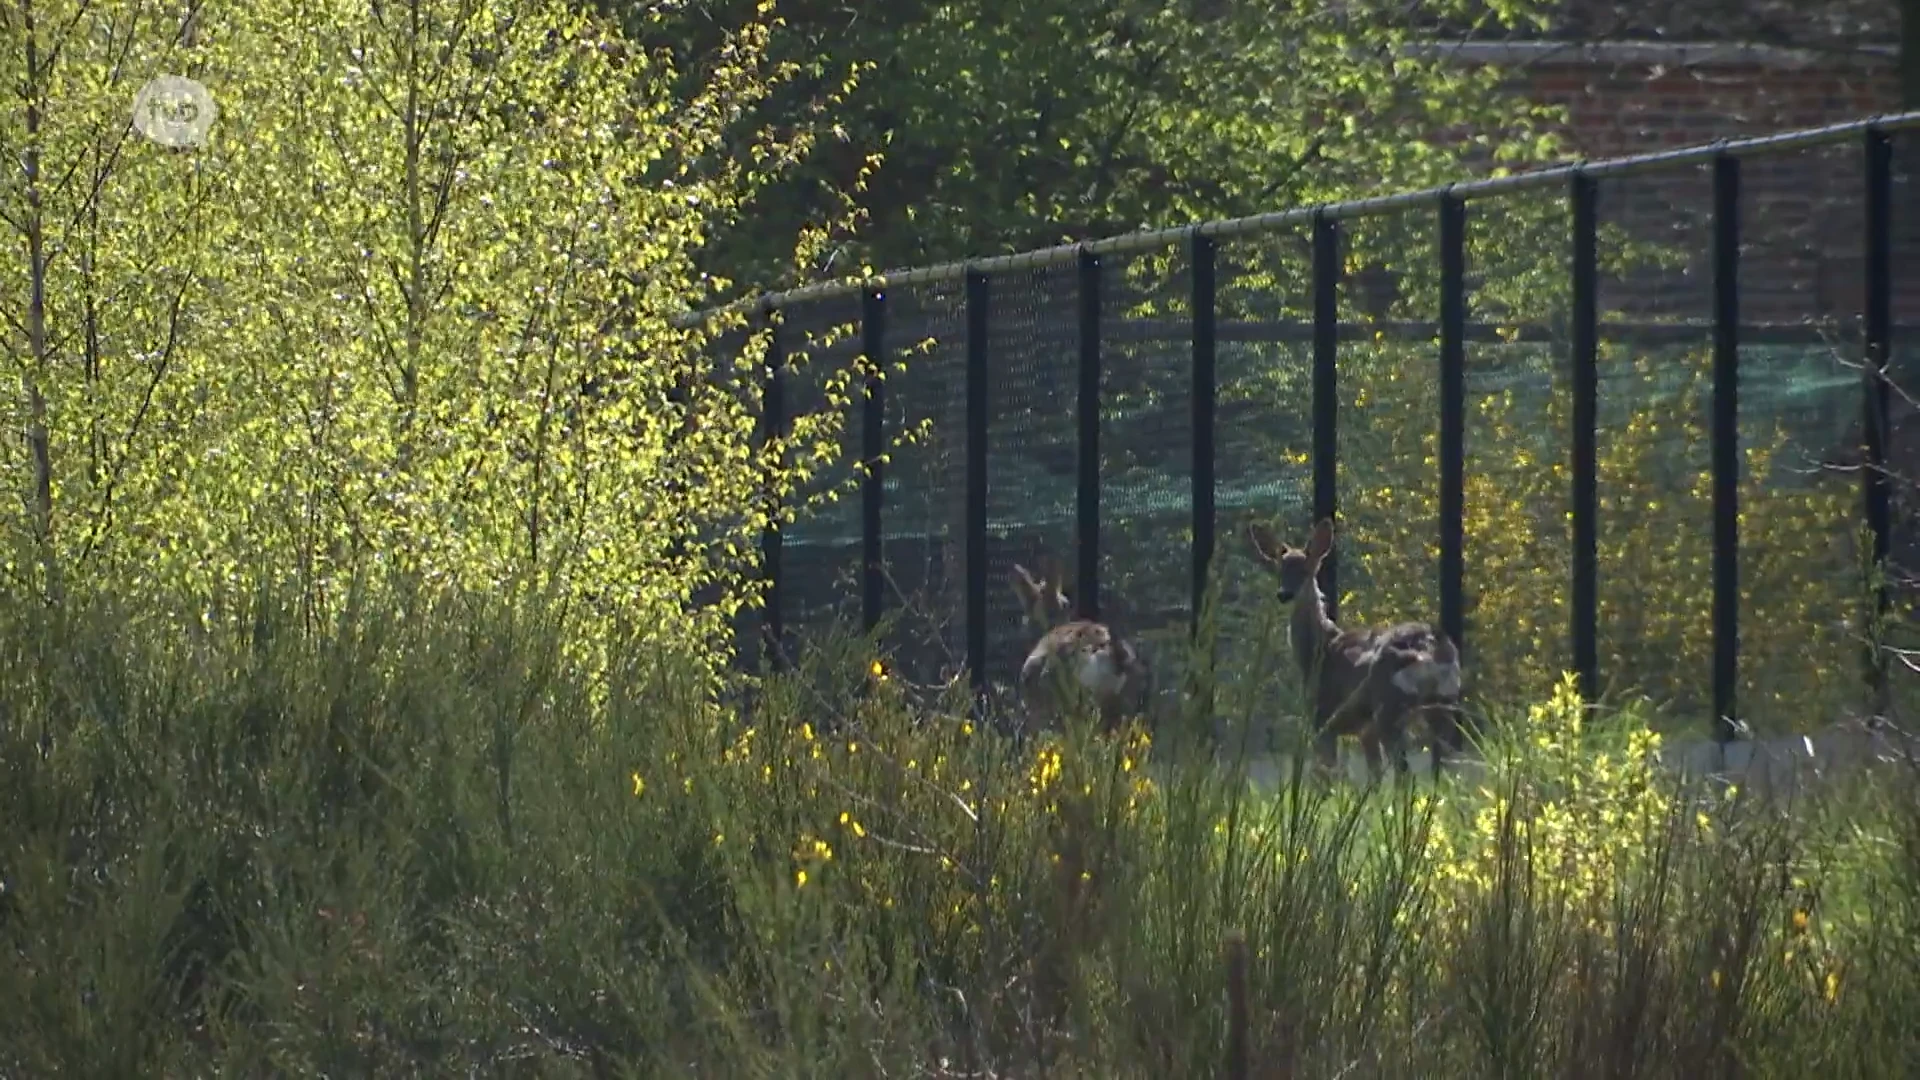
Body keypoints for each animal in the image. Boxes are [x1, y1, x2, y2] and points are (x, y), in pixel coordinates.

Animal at [1251, 518, 1459, 776]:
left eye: (1305, 570)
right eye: (1280, 570)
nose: (1284, 594)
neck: (1318, 650)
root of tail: (1429, 647)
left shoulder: (1322, 718)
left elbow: (1325, 774)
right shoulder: (1364, 732)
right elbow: (1374, 776)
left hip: (1388, 707)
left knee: (1405, 772)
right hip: (1444, 704)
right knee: (1445, 767)